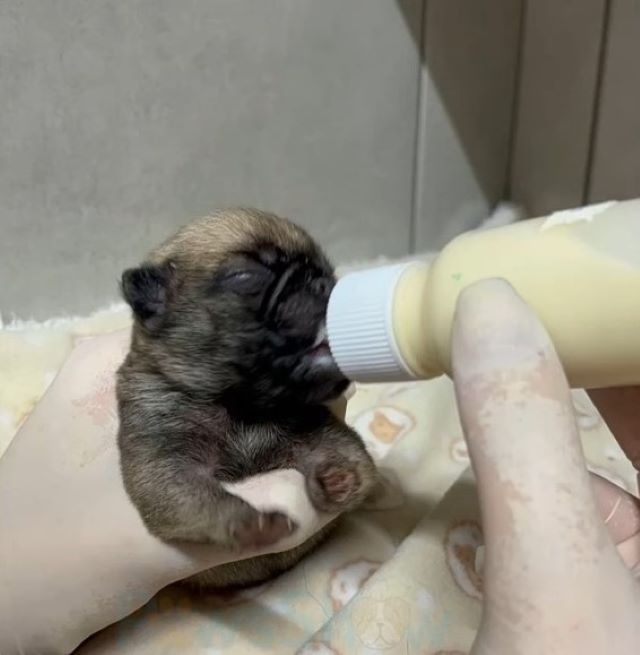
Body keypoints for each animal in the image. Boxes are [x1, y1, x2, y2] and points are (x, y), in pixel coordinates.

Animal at [117, 210, 378, 588]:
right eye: (244, 277)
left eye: (326, 271)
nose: (323, 283)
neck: (243, 408)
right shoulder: (164, 453)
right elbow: (197, 496)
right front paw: (250, 521)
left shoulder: (316, 429)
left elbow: (348, 453)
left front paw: (337, 479)